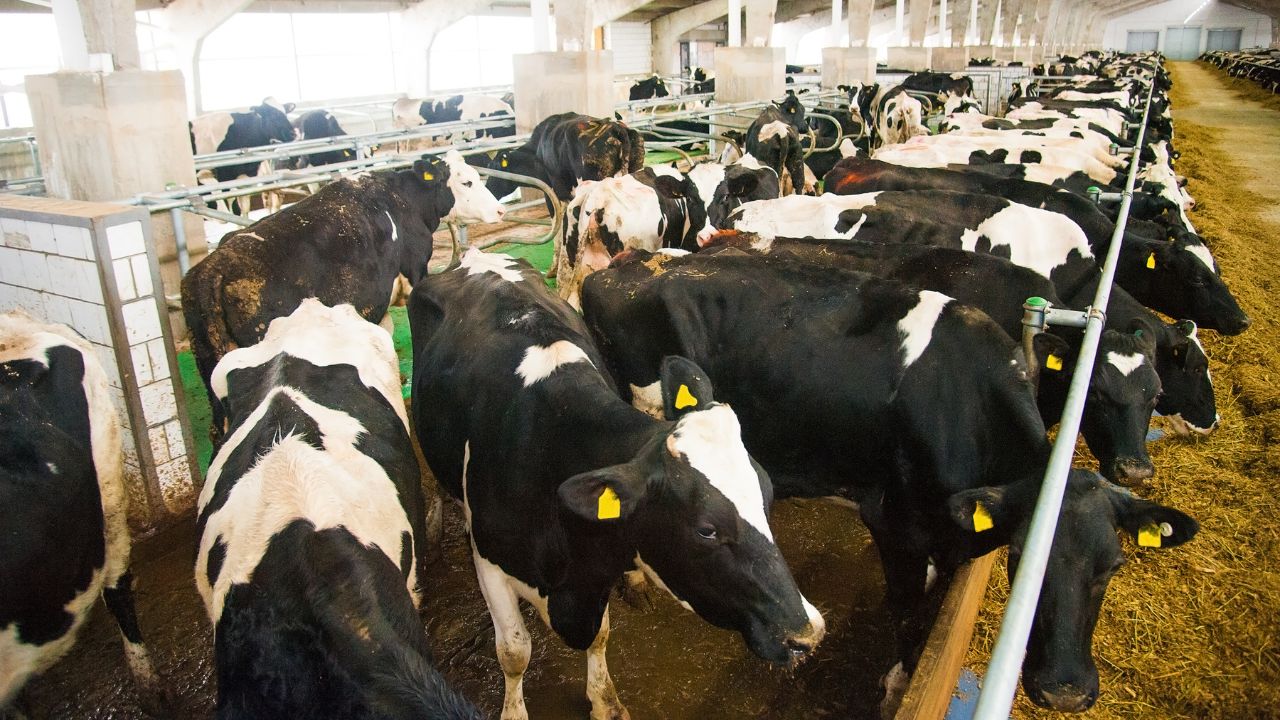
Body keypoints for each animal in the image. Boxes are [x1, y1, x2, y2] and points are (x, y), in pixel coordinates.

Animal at [408, 249, 825, 720]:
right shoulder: (491, 565)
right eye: (706, 529)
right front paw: (514, 709)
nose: (807, 634)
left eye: (767, 494)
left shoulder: (599, 561)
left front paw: (605, 700)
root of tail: (479, 254)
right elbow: (514, 652)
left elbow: (600, 636)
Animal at [581, 250, 1199, 715]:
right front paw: (897, 684)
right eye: (1022, 559)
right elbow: (907, 611)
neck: (963, 401)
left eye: (1112, 567)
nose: (1065, 690)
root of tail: (626, 265)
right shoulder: (894, 521)